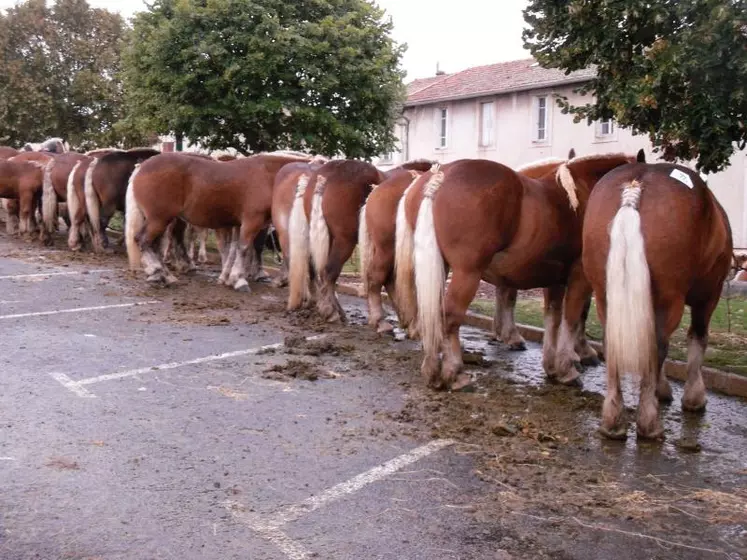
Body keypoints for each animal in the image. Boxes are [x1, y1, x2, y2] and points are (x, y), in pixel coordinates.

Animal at [125, 150, 312, 286]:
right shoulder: (252, 221)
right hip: (159, 219)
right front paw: (238, 279)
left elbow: (233, 249)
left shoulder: (237, 224)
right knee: (143, 240)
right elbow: (243, 248)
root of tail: (141, 166)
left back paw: (164, 274)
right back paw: (157, 272)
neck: (268, 175)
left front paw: (227, 277)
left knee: (153, 244)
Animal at [400, 152, 640, 390]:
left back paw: (432, 369)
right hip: (467, 272)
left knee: (431, 311)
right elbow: (573, 317)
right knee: (449, 316)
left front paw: (552, 366)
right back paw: (456, 374)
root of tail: (438, 177)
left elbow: (553, 318)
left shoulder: (555, 279)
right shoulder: (579, 277)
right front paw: (568, 367)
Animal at [580, 164, 732, 440]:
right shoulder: (708, 296)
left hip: (605, 296)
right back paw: (649, 422)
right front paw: (693, 397)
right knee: (657, 346)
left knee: (612, 344)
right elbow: (698, 338)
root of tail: (636, 183)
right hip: (670, 299)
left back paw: (613, 421)